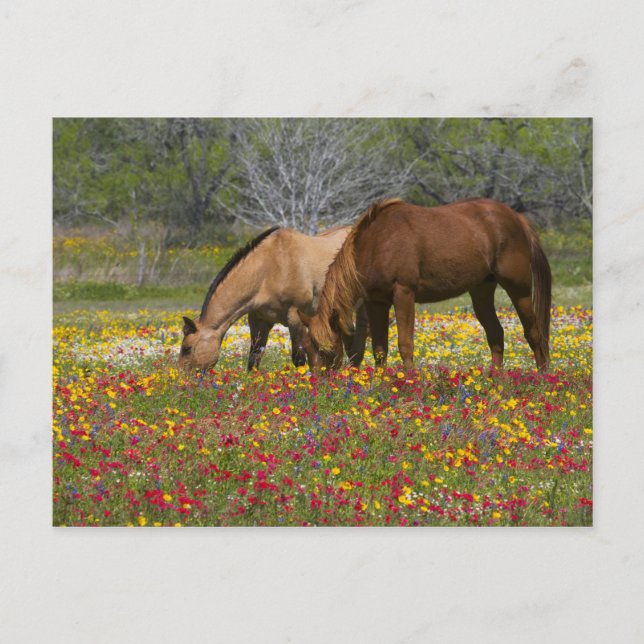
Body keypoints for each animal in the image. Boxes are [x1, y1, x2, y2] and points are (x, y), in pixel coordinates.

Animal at [178, 225, 368, 372]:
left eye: (187, 348)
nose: (183, 379)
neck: (270, 269)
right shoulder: (259, 320)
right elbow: (254, 357)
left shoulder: (295, 318)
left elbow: (299, 359)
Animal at [298, 198, 551, 371]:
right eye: (308, 349)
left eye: (327, 349)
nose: (321, 386)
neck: (378, 242)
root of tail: (517, 218)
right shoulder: (376, 302)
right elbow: (379, 348)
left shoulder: (404, 294)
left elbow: (405, 344)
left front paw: (409, 382)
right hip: (481, 290)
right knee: (496, 334)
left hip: (519, 288)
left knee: (534, 333)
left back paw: (542, 377)